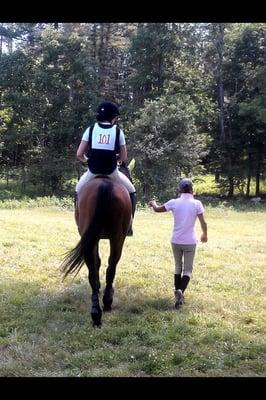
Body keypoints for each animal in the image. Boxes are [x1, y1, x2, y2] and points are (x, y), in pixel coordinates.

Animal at [60, 177, 131, 326]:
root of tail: (104, 185)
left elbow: (97, 262)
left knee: (95, 269)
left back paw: (96, 312)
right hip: (116, 237)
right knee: (110, 267)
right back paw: (105, 303)